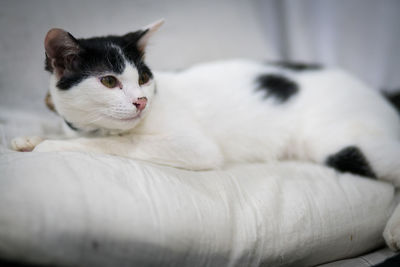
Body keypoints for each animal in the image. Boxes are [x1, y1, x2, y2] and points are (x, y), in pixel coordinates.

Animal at [9, 19, 400, 187]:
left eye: (144, 78)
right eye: (108, 81)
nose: (141, 101)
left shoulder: (194, 146)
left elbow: (114, 144)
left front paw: (48, 146)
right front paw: (30, 139)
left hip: (341, 141)